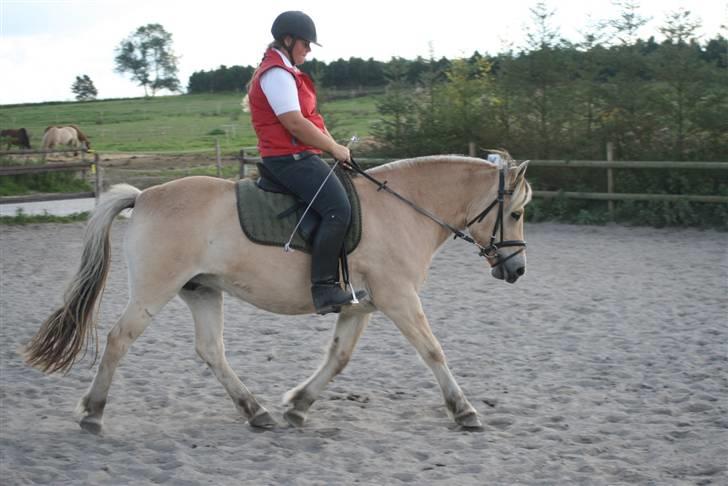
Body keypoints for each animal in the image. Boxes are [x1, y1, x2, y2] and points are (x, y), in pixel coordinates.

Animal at [25, 153, 532, 432]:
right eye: (518, 213)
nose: (518, 269)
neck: (403, 209)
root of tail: (144, 197)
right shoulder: (399, 299)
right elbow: (433, 352)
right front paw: (464, 411)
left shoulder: (363, 306)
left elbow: (338, 358)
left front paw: (299, 405)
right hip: (155, 290)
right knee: (118, 340)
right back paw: (93, 413)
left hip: (202, 291)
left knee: (211, 351)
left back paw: (256, 412)